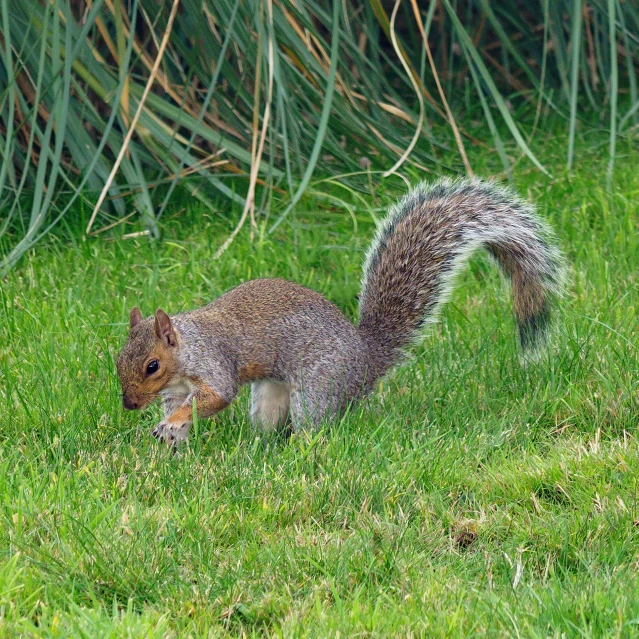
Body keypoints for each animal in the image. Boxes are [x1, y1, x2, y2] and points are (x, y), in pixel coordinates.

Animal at [116, 176, 564, 444]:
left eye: (152, 365)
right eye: (119, 359)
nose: (129, 405)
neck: (187, 347)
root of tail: (366, 358)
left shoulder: (214, 364)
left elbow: (214, 397)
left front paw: (174, 425)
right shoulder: (177, 389)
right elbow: (182, 406)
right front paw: (172, 433)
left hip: (318, 385)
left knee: (315, 424)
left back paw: (296, 448)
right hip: (271, 394)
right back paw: (261, 446)